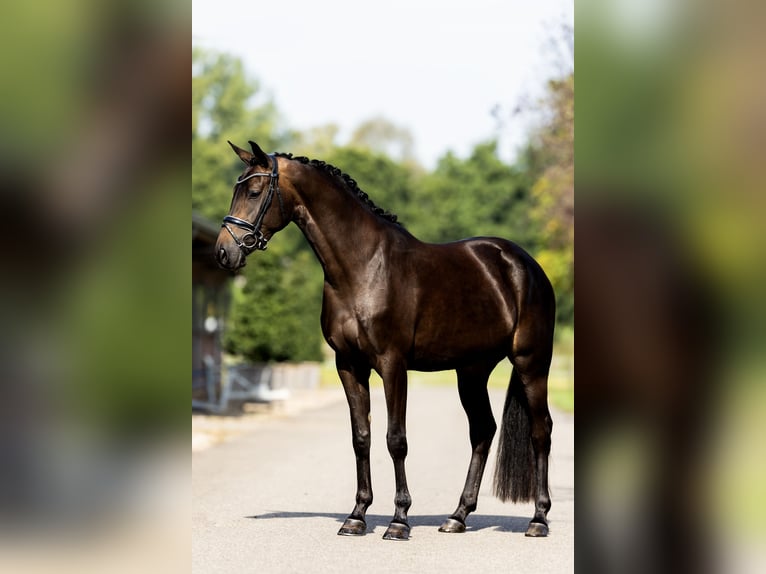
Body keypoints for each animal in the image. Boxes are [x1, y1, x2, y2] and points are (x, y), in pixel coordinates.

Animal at [216, 142, 560, 544]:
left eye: (255, 192)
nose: (224, 252)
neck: (362, 266)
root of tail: (525, 265)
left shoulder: (393, 365)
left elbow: (396, 439)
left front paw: (399, 520)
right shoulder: (349, 365)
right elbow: (361, 437)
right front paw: (356, 516)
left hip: (531, 362)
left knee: (541, 430)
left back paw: (538, 519)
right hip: (472, 370)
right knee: (482, 430)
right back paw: (458, 516)